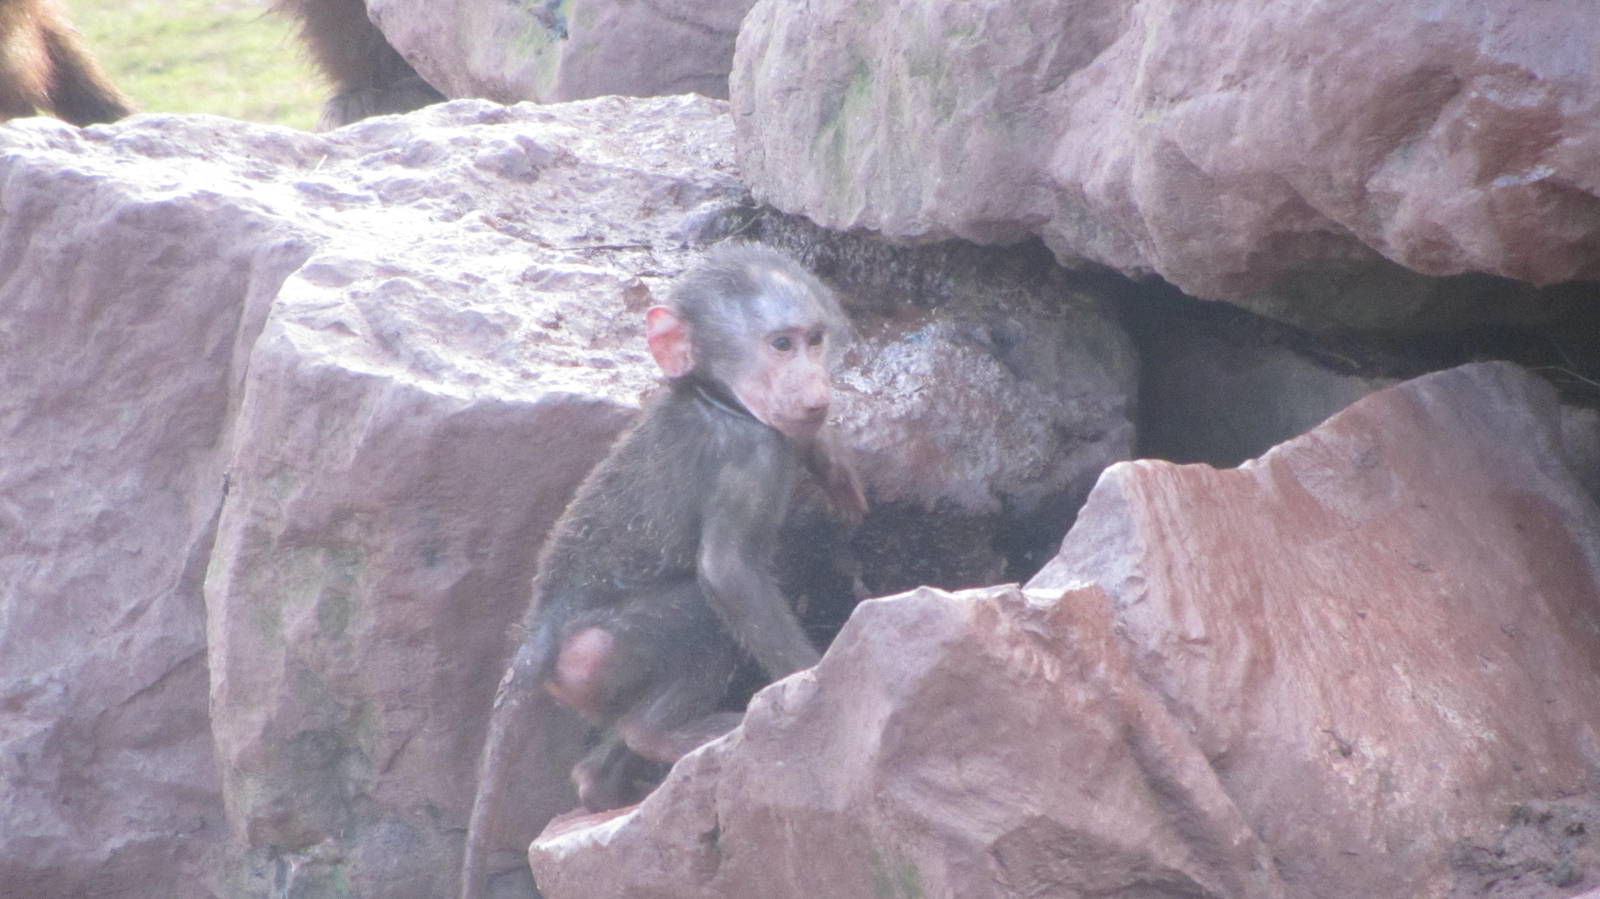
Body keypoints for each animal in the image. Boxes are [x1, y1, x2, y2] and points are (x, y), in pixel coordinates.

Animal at [459, 244, 867, 898]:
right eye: (780, 344)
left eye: (814, 339)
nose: (815, 387)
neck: (713, 395)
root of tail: (535, 635)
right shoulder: (747, 453)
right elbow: (726, 573)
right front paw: (813, 685)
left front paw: (829, 456)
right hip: (591, 659)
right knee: (699, 618)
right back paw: (657, 738)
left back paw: (598, 781)